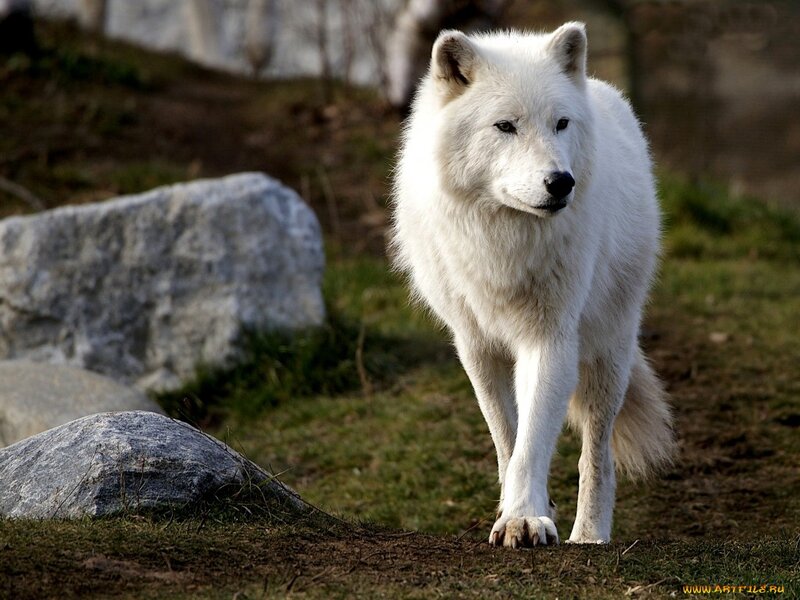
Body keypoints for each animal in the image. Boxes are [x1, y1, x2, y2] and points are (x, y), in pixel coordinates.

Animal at [391, 22, 675, 547]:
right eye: (506, 126)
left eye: (560, 124)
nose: (561, 182)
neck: (503, 239)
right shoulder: (476, 346)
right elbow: (508, 438)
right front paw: (518, 509)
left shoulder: (549, 339)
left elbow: (533, 440)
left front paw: (524, 518)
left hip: (609, 353)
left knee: (597, 455)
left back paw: (589, 536)